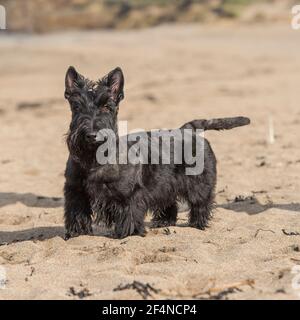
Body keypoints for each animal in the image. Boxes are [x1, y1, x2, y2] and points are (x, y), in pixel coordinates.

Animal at [63, 66, 251, 239]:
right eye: (77, 106)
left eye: (107, 107)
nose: (91, 135)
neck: (93, 159)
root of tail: (187, 129)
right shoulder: (76, 192)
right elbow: (77, 214)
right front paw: (77, 233)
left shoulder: (130, 195)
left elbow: (129, 215)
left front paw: (126, 233)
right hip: (166, 184)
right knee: (170, 203)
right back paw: (164, 221)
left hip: (200, 183)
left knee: (201, 202)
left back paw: (198, 224)